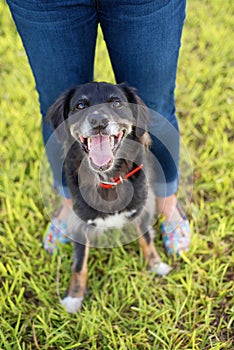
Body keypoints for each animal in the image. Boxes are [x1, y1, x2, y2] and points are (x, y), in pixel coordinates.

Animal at [47, 82, 172, 314]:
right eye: (80, 105)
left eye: (116, 103)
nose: (98, 121)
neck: (108, 178)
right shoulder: (80, 221)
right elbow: (80, 263)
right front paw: (74, 297)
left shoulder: (140, 207)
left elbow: (146, 239)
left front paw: (156, 264)